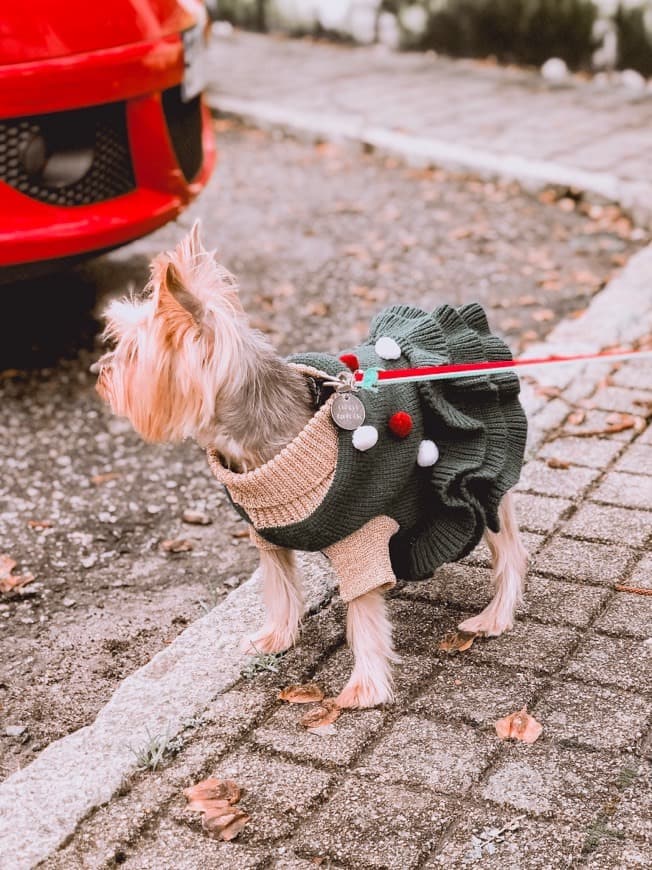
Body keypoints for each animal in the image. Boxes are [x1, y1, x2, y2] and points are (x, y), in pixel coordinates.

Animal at [94, 225, 528, 708]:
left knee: (509, 548)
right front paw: (275, 638)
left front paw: (364, 687)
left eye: (133, 353)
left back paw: (493, 617)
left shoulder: (361, 537)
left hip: (482, 473)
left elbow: (364, 614)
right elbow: (280, 587)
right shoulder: (267, 536)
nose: (100, 372)